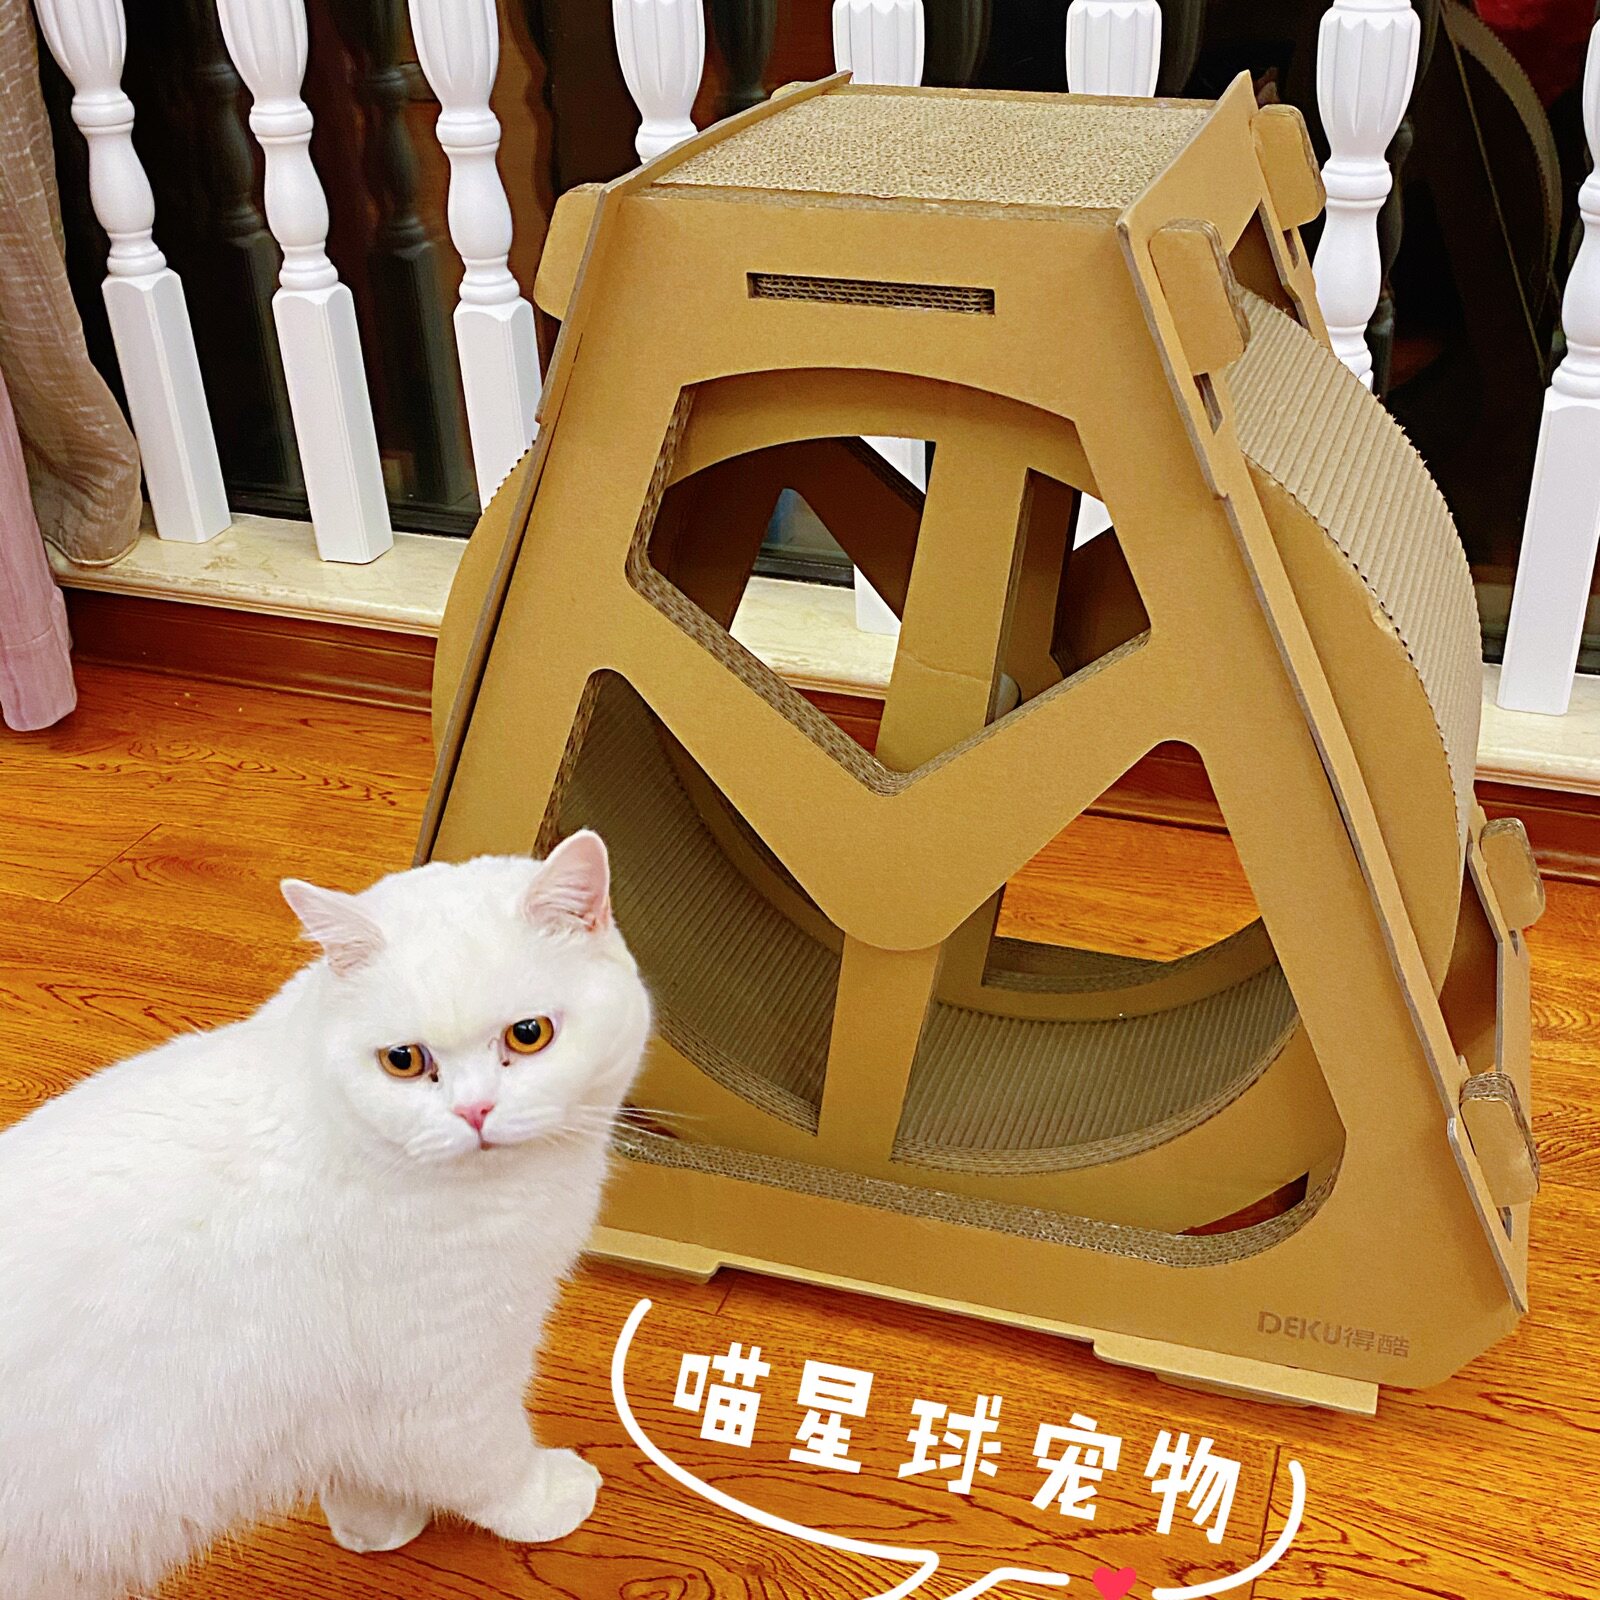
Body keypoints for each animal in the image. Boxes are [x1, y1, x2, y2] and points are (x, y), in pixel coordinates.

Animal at [0, 832, 651, 1600]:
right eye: (403, 1061)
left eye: (529, 1035)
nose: (474, 1112)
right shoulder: (448, 1384)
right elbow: (490, 1468)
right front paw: (549, 1501)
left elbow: (358, 1473)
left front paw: (373, 1526)